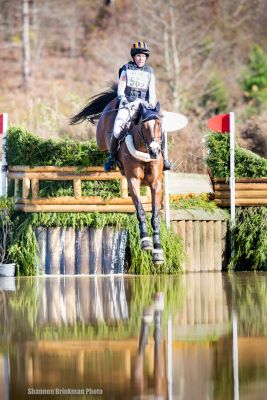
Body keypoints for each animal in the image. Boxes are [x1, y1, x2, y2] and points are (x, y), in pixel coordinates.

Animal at [70, 84, 164, 264]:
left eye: (159, 125)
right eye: (144, 126)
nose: (155, 151)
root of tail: (114, 99)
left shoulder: (156, 183)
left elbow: (155, 215)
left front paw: (158, 250)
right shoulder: (133, 180)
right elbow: (140, 210)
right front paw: (146, 241)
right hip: (101, 139)